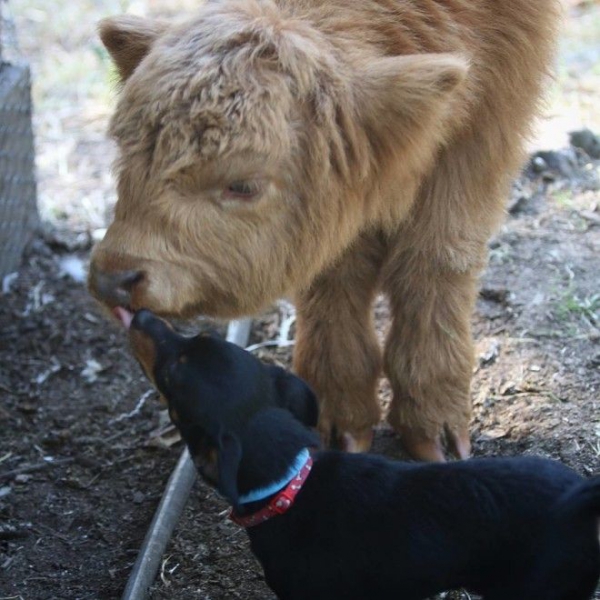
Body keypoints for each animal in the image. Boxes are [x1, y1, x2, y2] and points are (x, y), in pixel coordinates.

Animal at [88, 0, 556, 460]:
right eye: (126, 153)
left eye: (243, 185)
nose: (114, 278)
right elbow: (336, 272)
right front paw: (339, 418)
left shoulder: (492, 117)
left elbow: (439, 255)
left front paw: (434, 425)